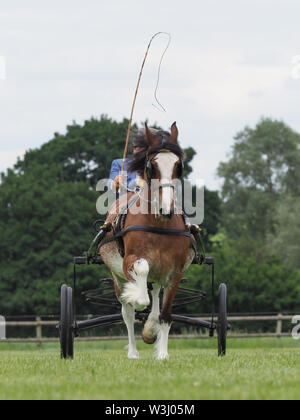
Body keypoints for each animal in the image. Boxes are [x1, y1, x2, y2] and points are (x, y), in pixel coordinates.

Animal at [100, 123, 195, 360]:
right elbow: (141, 287)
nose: (167, 208)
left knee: (155, 293)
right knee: (127, 313)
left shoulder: (175, 272)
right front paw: (137, 299)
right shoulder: (130, 261)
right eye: (152, 166)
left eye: (178, 166)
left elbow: (165, 314)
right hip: (116, 276)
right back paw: (133, 352)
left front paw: (161, 351)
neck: (158, 224)